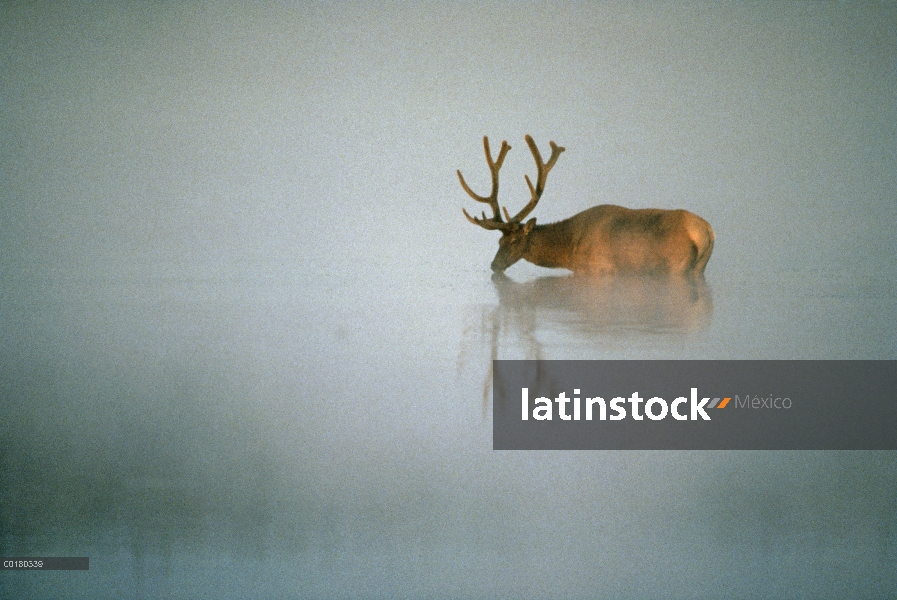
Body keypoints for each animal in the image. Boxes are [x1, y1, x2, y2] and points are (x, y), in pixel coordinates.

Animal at [458, 136, 716, 276]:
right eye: (498, 241)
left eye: (513, 240)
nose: (494, 265)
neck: (569, 252)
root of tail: (706, 231)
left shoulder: (597, 269)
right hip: (699, 267)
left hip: (676, 265)